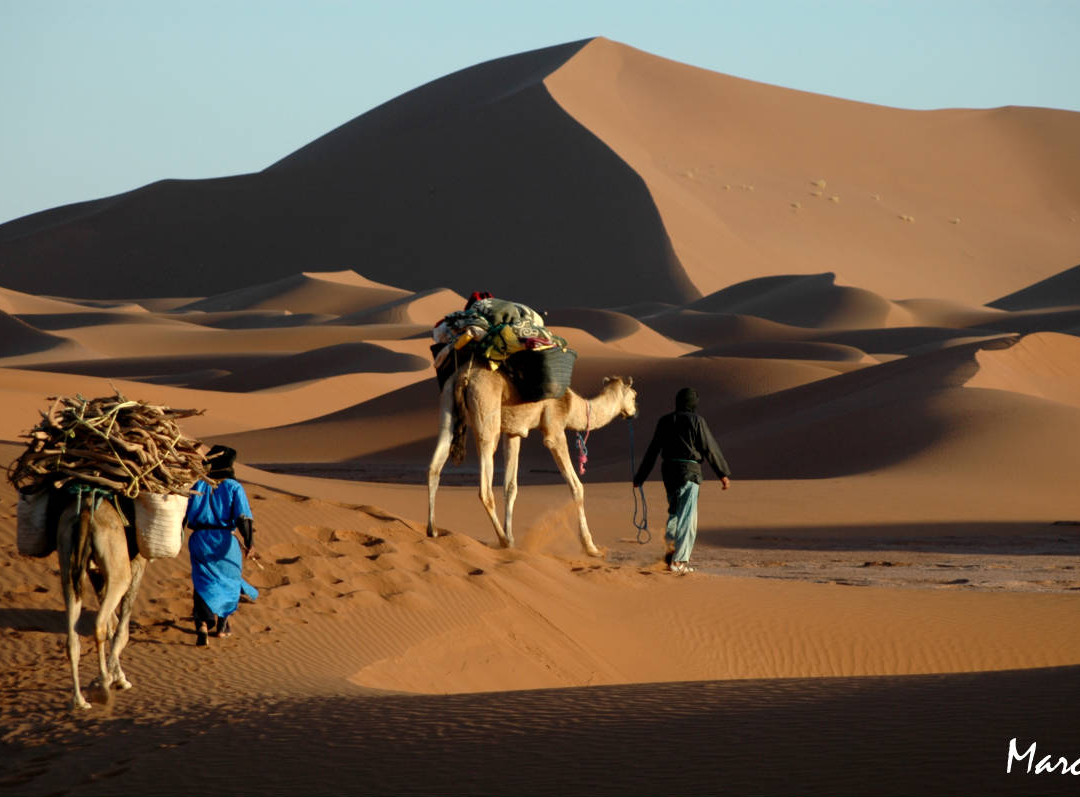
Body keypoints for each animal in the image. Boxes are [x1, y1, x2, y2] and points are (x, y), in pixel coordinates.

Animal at [56, 483, 149, 708]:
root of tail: (85, 513)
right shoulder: (137, 561)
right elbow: (121, 628)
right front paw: (116, 679)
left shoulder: (95, 572)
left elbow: (113, 624)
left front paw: (115, 676)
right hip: (118, 570)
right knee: (99, 623)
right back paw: (103, 688)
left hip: (67, 563)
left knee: (72, 639)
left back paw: (79, 700)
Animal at [425, 360, 635, 552]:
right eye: (634, 396)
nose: (633, 413)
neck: (572, 405)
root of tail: (464, 376)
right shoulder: (554, 430)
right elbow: (577, 487)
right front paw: (590, 547)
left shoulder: (513, 432)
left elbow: (510, 487)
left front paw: (511, 535)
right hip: (486, 417)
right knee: (485, 487)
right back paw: (503, 540)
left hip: (447, 409)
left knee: (434, 468)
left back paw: (433, 530)